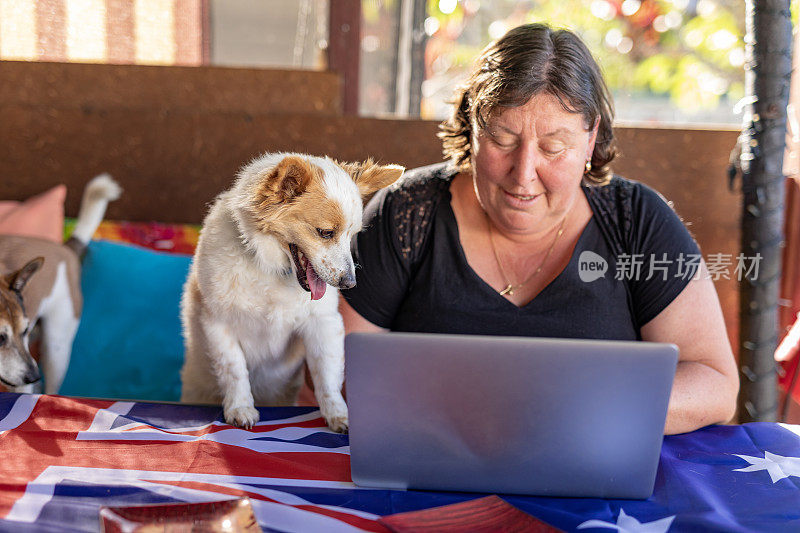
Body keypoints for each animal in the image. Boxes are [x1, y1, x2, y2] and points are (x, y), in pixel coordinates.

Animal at [182, 152, 406, 430]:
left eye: (352, 235)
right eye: (325, 233)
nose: (349, 283)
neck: (270, 269)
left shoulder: (324, 324)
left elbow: (327, 375)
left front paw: (339, 416)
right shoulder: (218, 323)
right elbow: (234, 369)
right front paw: (240, 408)